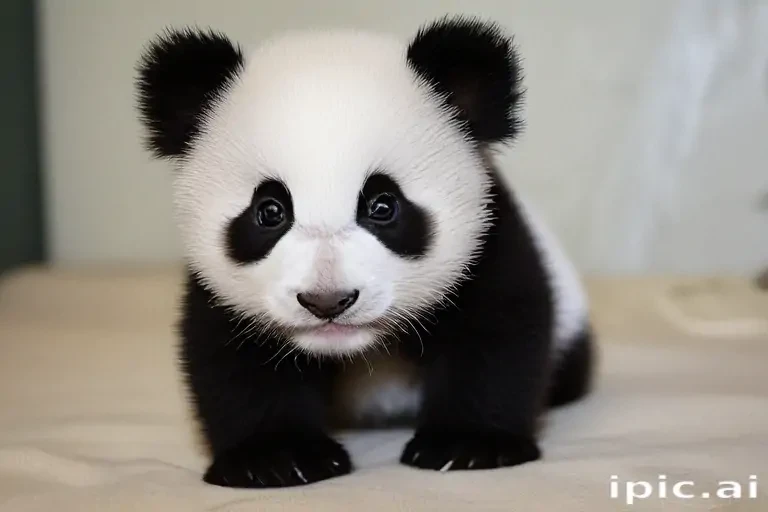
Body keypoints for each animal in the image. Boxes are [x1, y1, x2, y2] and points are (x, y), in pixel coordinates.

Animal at [135, 15, 595, 488]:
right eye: (270, 211)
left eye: (383, 206)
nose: (327, 301)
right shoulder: (221, 290)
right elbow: (234, 358)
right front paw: (276, 459)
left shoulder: (487, 240)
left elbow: (498, 330)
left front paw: (468, 445)